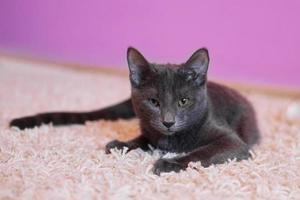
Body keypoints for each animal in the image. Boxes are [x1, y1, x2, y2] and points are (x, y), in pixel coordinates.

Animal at [8, 47, 258, 175]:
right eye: (154, 102)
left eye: (184, 101)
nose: (168, 122)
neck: (171, 140)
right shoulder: (150, 130)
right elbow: (141, 139)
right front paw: (122, 144)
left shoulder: (233, 142)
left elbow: (203, 152)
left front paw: (169, 164)